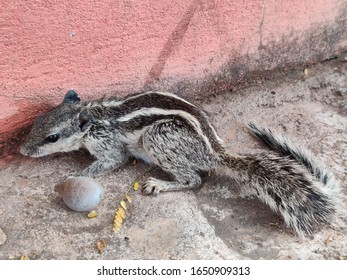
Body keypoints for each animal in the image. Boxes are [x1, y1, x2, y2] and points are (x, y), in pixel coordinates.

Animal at [21, 89, 342, 236]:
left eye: (52, 137)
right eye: (36, 123)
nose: (23, 150)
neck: (93, 116)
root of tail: (213, 151)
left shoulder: (110, 146)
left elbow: (112, 161)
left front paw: (79, 173)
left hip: (158, 137)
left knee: (194, 179)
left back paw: (159, 184)